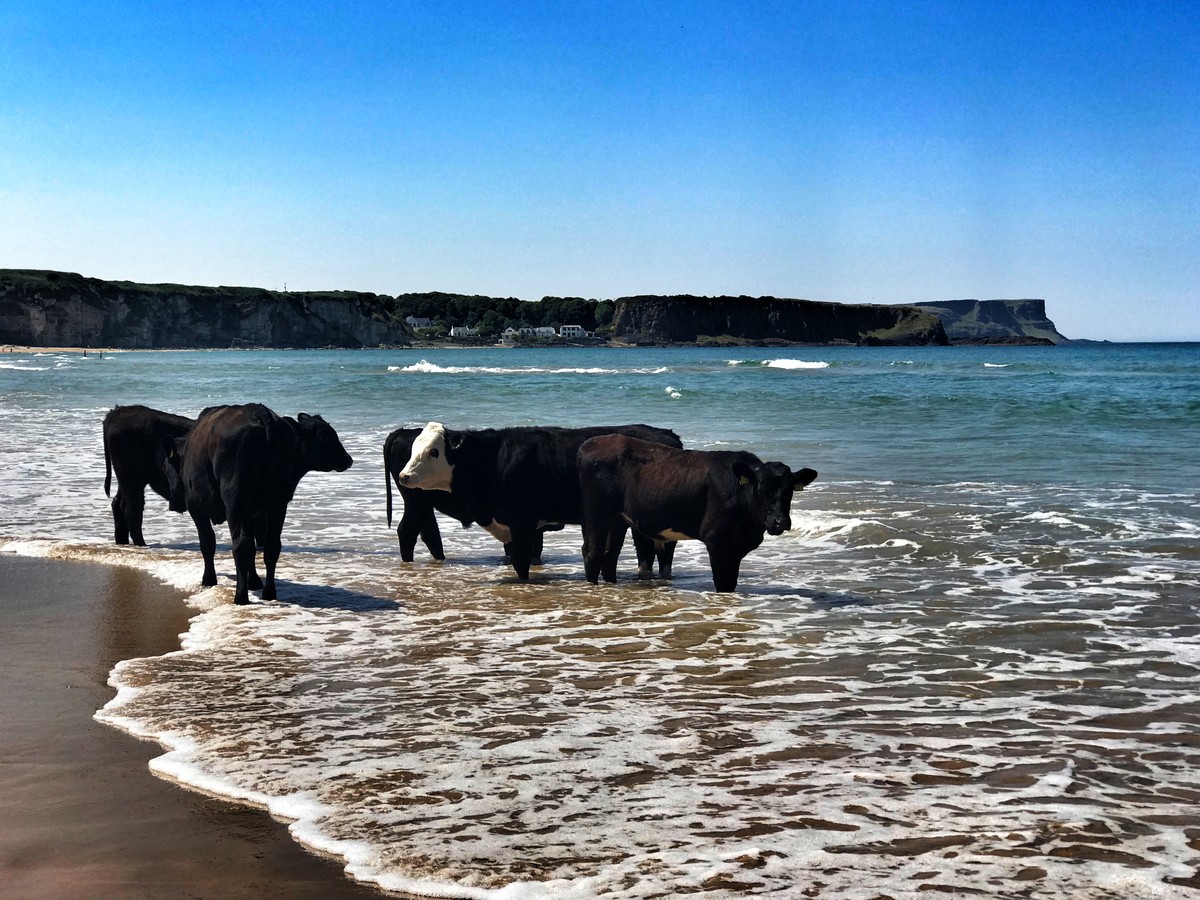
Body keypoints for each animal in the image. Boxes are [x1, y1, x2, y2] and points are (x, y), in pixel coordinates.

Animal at [103, 405, 194, 547]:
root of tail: (117, 411)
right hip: (132, 478)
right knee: (132, 507)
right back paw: (141, 544)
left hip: (127, 480)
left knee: (118, 504)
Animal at [171, 408, 352, 607]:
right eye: (326, 435)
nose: (348, 459)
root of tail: (261, 415)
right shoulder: (254, 513)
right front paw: (254, 581)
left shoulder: (196, 507)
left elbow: (207, 543)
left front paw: (209, 580)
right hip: (276, 504)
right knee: (271, 546)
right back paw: (268, 593)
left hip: (236, 502)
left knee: (241, 546)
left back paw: (240, 597)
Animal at [578, 434, 820, 595]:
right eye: (761, 487)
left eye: (790, 490)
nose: (780, 521)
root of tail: (590, 443)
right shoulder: (718, 540)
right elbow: (723, 582)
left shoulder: (736, 545)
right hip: (597, 514)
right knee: (593, 552)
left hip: (618, 520)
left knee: (609, 555)